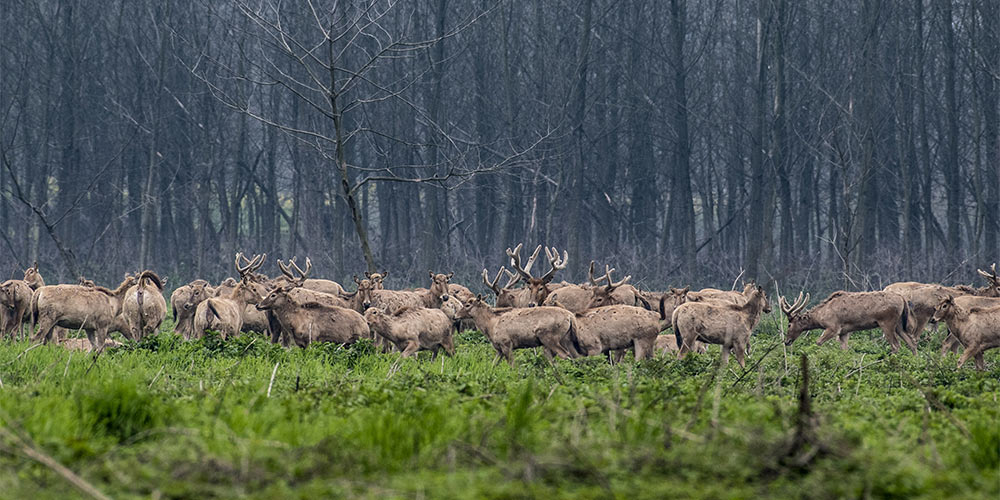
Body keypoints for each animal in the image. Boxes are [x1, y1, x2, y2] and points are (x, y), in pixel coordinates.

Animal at [776, 290, 916, 356]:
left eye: (789, 324)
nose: (787, 341)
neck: (821, 316)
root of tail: (902, 299)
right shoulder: (844, 332)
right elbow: (844, 349)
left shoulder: (833, 327)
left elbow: (818, 342)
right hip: (899, 325)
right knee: (912, 343)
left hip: (887, 322)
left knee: (896, 345)